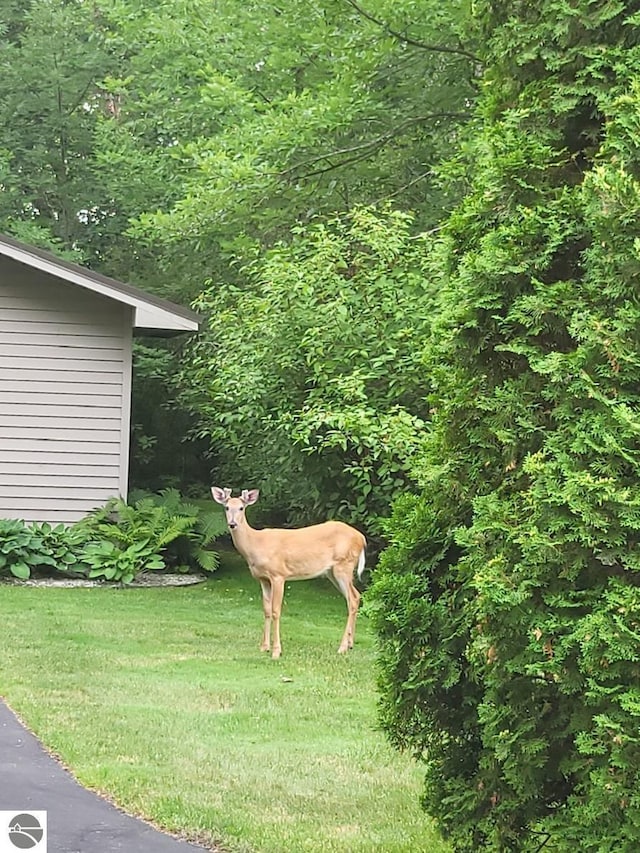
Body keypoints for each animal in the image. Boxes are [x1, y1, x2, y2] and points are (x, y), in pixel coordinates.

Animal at [212, 486, 368, 660]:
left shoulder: (278, 575)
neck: (256, 545)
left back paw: (342, 647)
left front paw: (276, 651)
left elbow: (276, 611)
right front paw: (264, 647)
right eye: (227, 507)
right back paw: (350, 644)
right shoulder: (262, 578)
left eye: (241, 508)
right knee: (355, 596)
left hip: (344, 564)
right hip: (332, 572)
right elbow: (266, 610)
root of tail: (362, 538)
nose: (232, 524)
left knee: (352, 598)